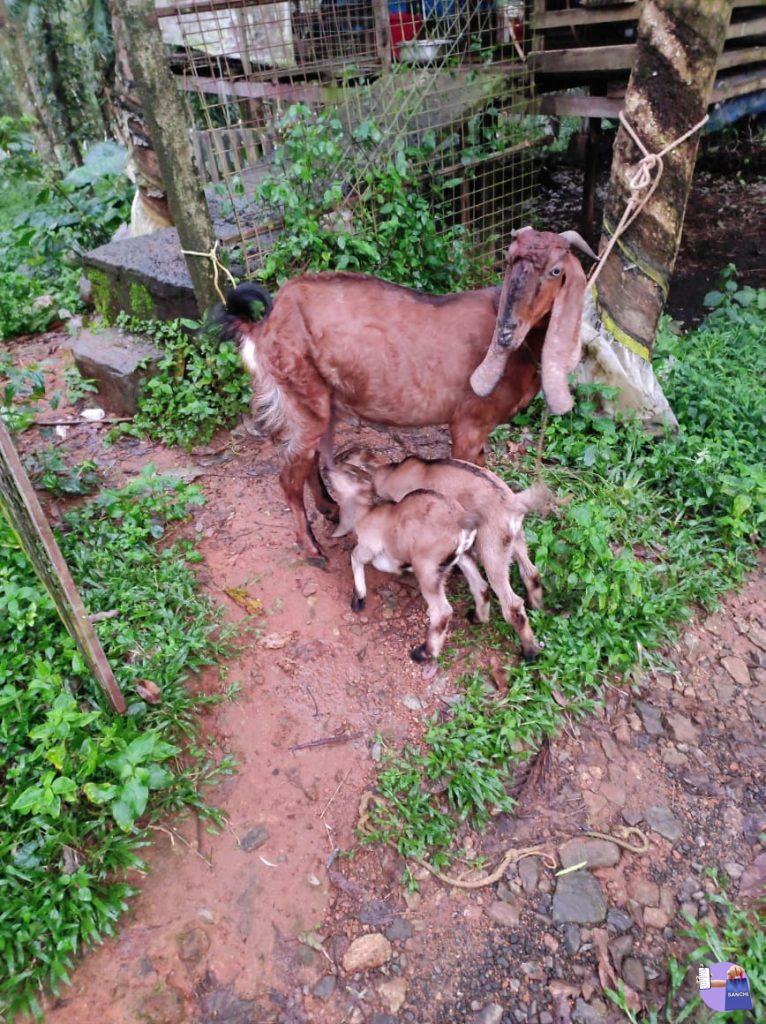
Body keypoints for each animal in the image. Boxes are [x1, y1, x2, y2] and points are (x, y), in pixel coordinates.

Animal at [217, 227, 594, 564]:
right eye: (509, 260)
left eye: (555, 271)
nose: (505, 334)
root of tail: (264, 324)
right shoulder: (468, 425)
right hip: (301, 391)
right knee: (288, 475)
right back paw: (312, 550)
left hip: (318, 402)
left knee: (308, 459)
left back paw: (330, 509)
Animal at [324, 462, 482, 661]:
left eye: (350, 472)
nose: (326, 469)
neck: (365, 514)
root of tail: (463, 524)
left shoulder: (369, 546)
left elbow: (356, 557)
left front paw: (358, 599)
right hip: (462, 558)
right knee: (481, 586)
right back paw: (477, 617)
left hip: (427, 568)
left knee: (443, 611)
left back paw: (423, 652)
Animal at [344, 450, 553, 660]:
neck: (394, 472)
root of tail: (512, 502)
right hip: (515, 540)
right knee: (530, 573)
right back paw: (531, 609)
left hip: (491, 550)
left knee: (511, 604)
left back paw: (530, 651)